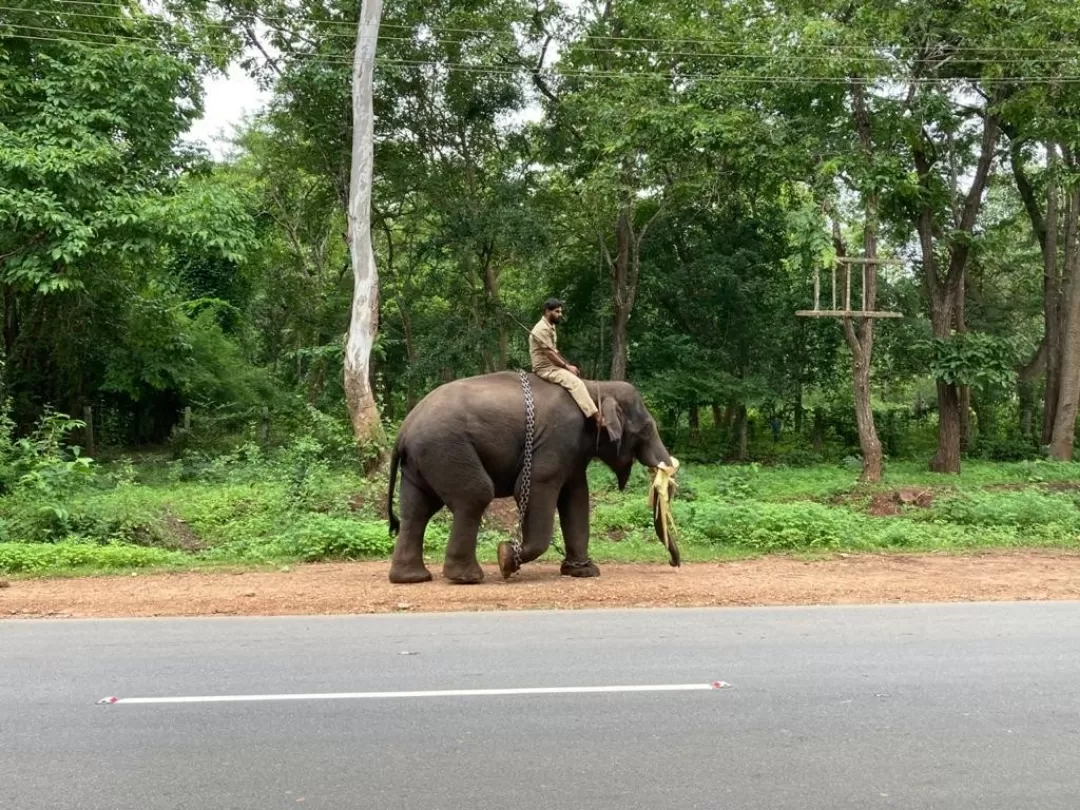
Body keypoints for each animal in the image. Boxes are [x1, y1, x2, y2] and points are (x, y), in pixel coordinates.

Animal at [386, 371, 673, 587]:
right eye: (647, 429)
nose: (674, 564)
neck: (593, 387)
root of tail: (403, 430)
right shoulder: (555, 438)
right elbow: (537, 487)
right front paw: (506, 558)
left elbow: (577, 498)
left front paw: (584, 572)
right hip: (445, 449)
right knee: (475, 495)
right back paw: (467, 578)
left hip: (422, 460)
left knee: (417, 510)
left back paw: (411, 578)